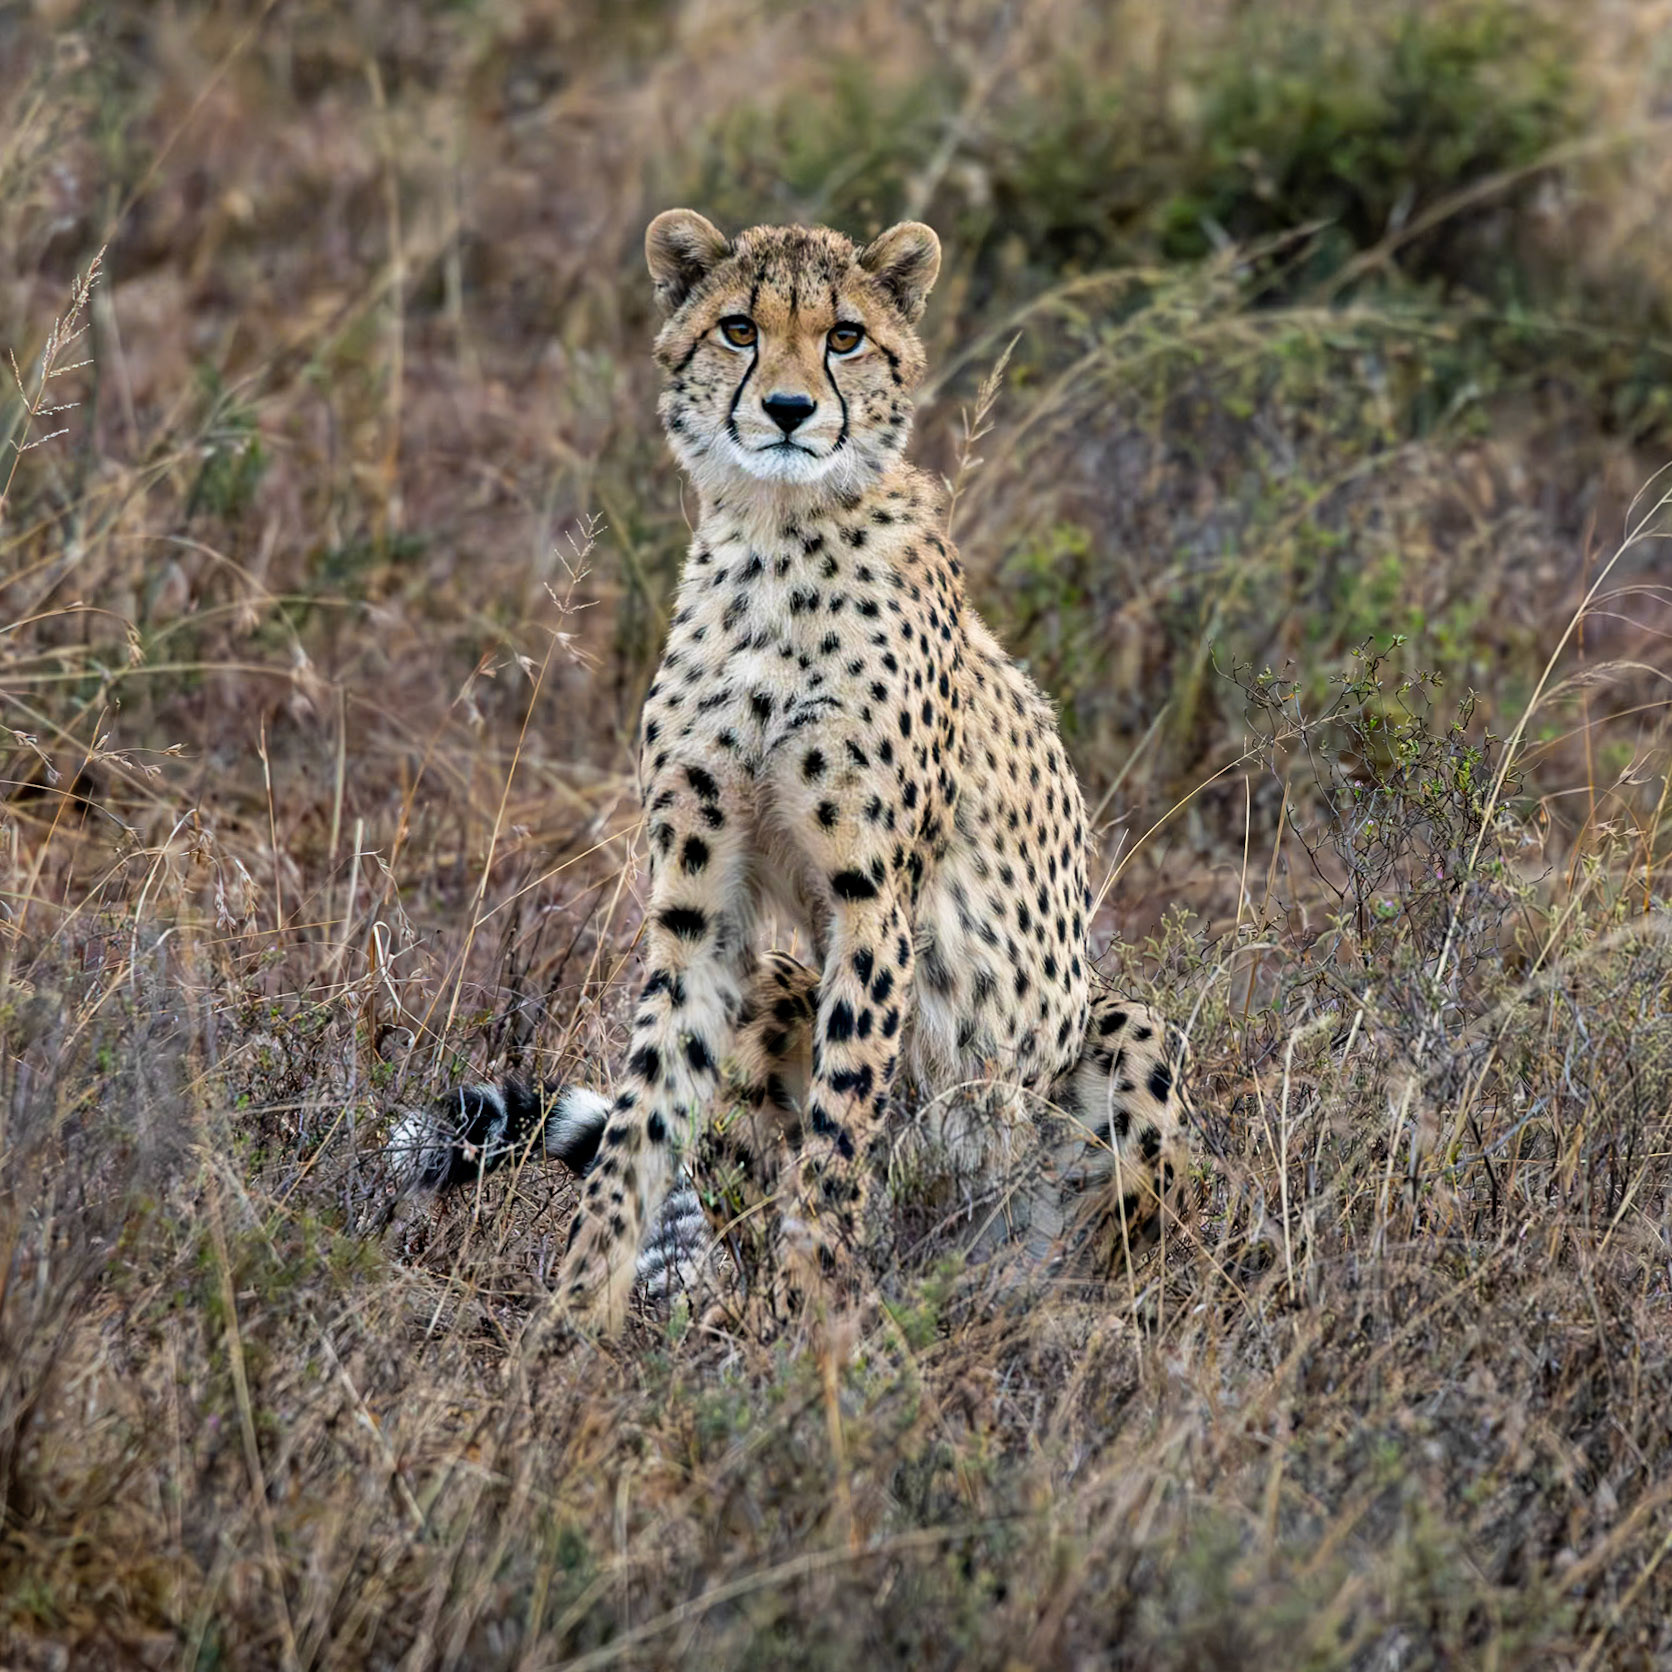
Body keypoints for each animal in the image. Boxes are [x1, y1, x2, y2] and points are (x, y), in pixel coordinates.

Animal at [388, 210, 1195, 1331]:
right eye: (739, 328)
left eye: (844, 337)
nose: (786, 408)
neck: (776, 538)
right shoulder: (697, 901)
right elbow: (645, 1109)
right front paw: (578, 1310)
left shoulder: (875, 899)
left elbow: (842, 1119)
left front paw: (813, 1315)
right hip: (776, 980)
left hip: (1120, 1041)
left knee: (1098, 1241)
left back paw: (1053, 1316)